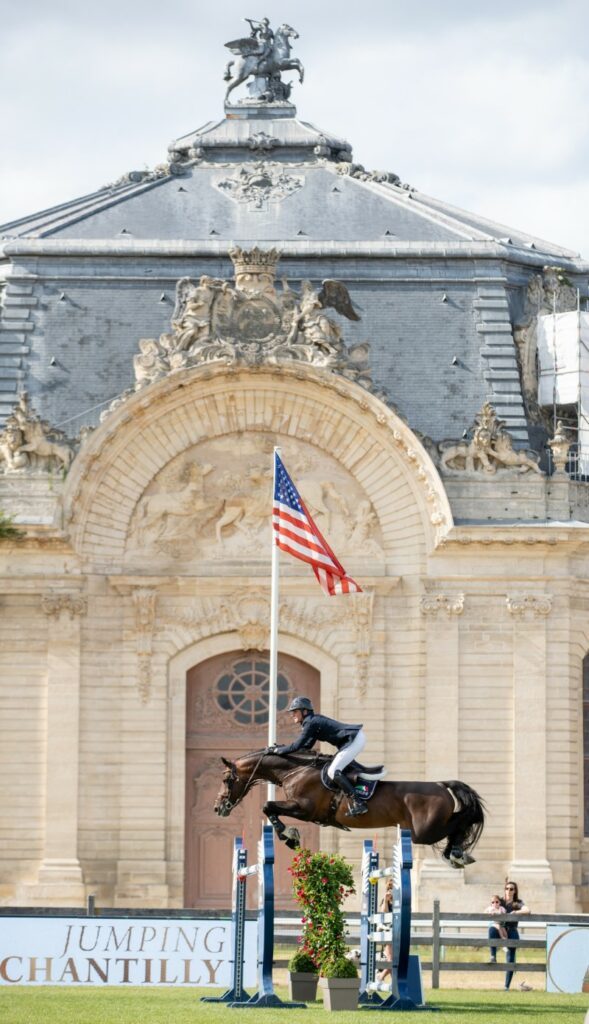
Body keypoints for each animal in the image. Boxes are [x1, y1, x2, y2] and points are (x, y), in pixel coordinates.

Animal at [214, 749, 485, 868]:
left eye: (227, 780)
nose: (219, 808)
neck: (296, 770)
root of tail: (441, 785)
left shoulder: (305, 809)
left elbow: (268, 806)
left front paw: (289, 836)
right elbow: (269, 808)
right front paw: (289, 836)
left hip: (424, 832)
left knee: (461, 821)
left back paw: (457, 853)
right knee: (460, 822)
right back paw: (457, 854)